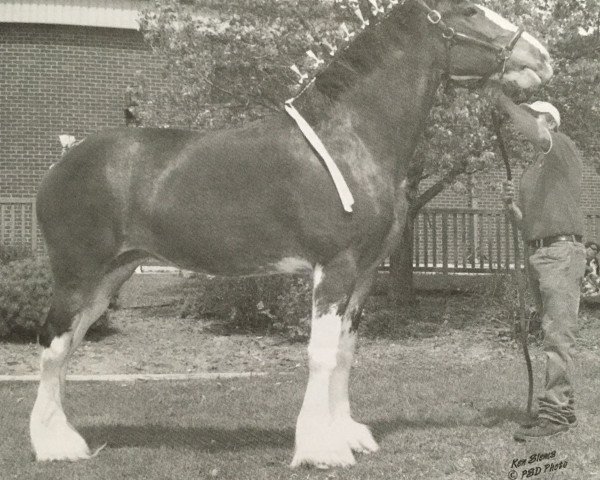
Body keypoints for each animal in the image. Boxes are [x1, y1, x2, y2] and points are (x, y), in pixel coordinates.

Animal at [30, 0, 552, 466]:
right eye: (470, 11)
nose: (541, 57)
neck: (351, 137)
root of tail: (62, 162)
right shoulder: (334, 267)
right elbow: (320, 353)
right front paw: (322, 450)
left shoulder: (364, 274)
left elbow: (344, 352)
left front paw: (348, 434)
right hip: (79, 274)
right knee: (53, 344)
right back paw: (54, 447)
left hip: (112, 276)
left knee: (68, 345)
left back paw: (64, 438)